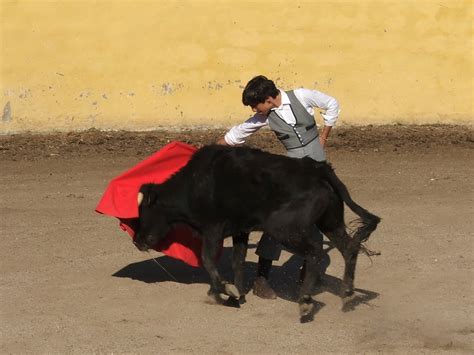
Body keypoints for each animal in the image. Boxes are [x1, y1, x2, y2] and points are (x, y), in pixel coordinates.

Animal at [134, 145, 382, 322]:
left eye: (144, 210)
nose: (137, 241)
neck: (193, 184)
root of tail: (318, 170)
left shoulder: (213, 228)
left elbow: (208, 260)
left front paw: (223, 292)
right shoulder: (240, 230)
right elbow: (237, 261)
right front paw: (238, 295)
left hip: (283, 228)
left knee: (314, 252)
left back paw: (305, 302)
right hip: (330, 222)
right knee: (349, 248)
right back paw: (347, 296)